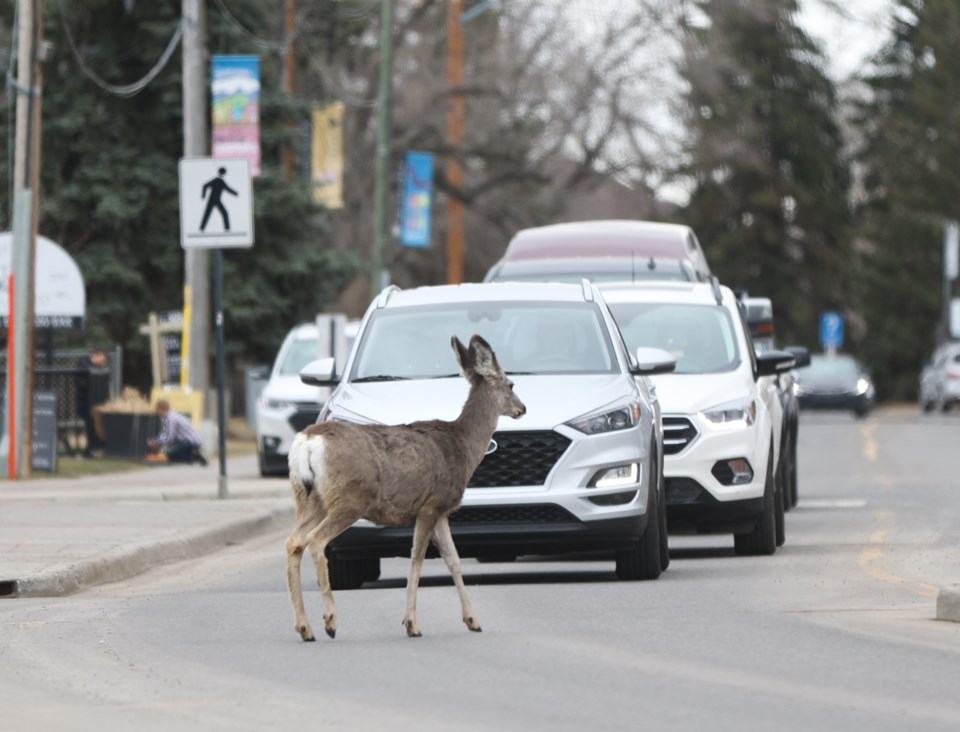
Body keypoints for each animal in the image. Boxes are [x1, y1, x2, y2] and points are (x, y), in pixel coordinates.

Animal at [284, 334, 524, 640]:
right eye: (511, 384)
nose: (522, 408)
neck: (462, 447)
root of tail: (308, 442)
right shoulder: (431, 505)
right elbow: (417, 559)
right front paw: (412, 624)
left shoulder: (442, 512)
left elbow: (454, 559)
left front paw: (473, 620)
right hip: (349, 499)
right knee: (315, 540)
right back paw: (330, 622)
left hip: (309, 498)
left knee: (294, 541)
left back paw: (305, 628)